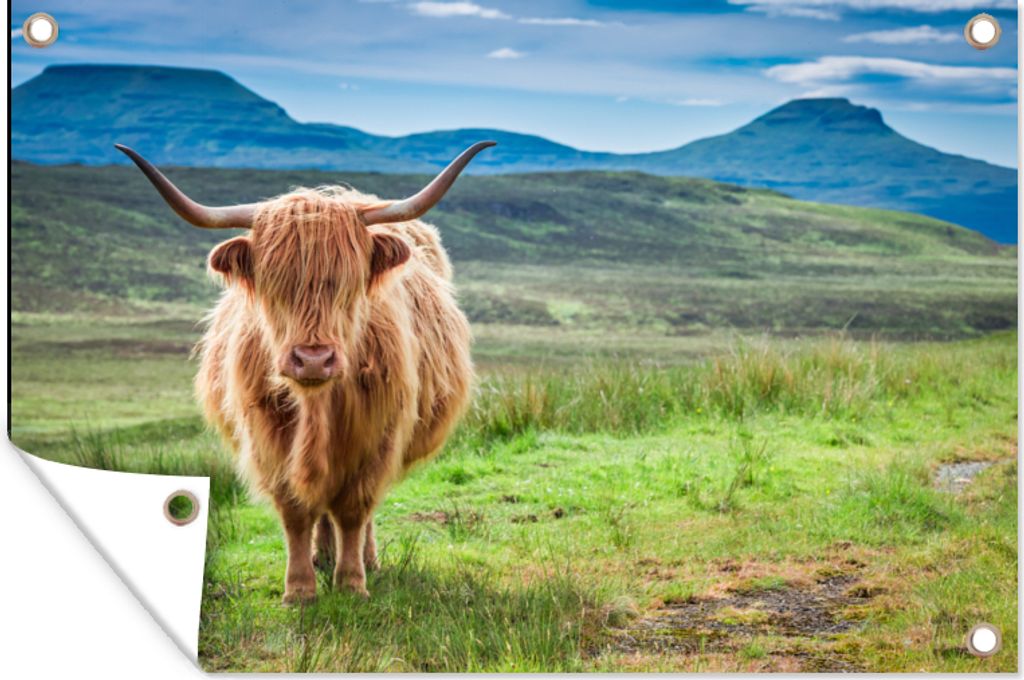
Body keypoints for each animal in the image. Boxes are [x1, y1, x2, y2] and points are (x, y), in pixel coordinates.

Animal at [116, 142, 492, 602]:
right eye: (274, 284)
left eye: (348, 283)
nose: (313, 359)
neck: (317, 405)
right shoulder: (268, 436)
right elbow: (295, 510)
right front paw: (299, 589)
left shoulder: (377, 435)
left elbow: (354, 509)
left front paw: (351, 583)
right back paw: (322, 556)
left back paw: (364, 559)